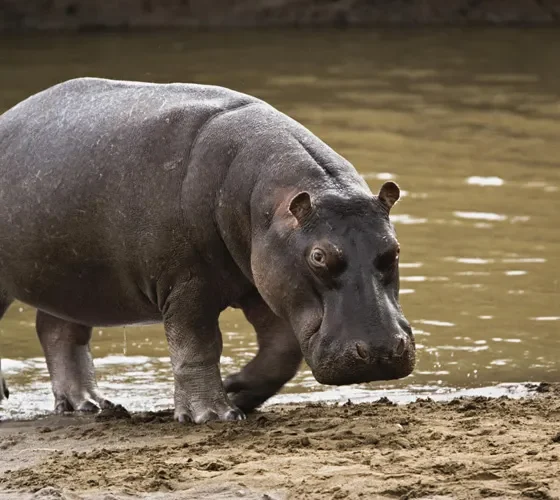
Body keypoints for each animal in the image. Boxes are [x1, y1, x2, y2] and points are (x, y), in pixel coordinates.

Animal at [1, 77, 416, 422]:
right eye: (318, 256)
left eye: (394, 249)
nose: (380, 352)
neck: (267, 201)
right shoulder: (186, 285)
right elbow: (197, 348)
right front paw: (214, 415)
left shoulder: (262, 284)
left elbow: (281, 352)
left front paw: (237, 390)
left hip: (71, 281)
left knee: (58, 332)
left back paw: (87, 405)